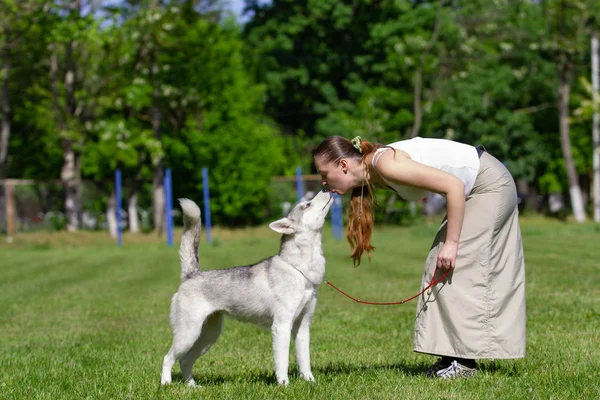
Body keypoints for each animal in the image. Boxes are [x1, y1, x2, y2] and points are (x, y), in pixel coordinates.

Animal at [161, 191, 332, 388]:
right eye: (307, 205)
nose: (326, 190)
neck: (299, 269)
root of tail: (191, 274)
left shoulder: (303, 327)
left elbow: (305, 361)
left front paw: (310, 382)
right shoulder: (281, 326)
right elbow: (282, 362)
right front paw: (284, 385)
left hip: (207, 337)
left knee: (185, 361)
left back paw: (193, 387)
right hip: (188, 334)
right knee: (168, 358)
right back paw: (166, 384)